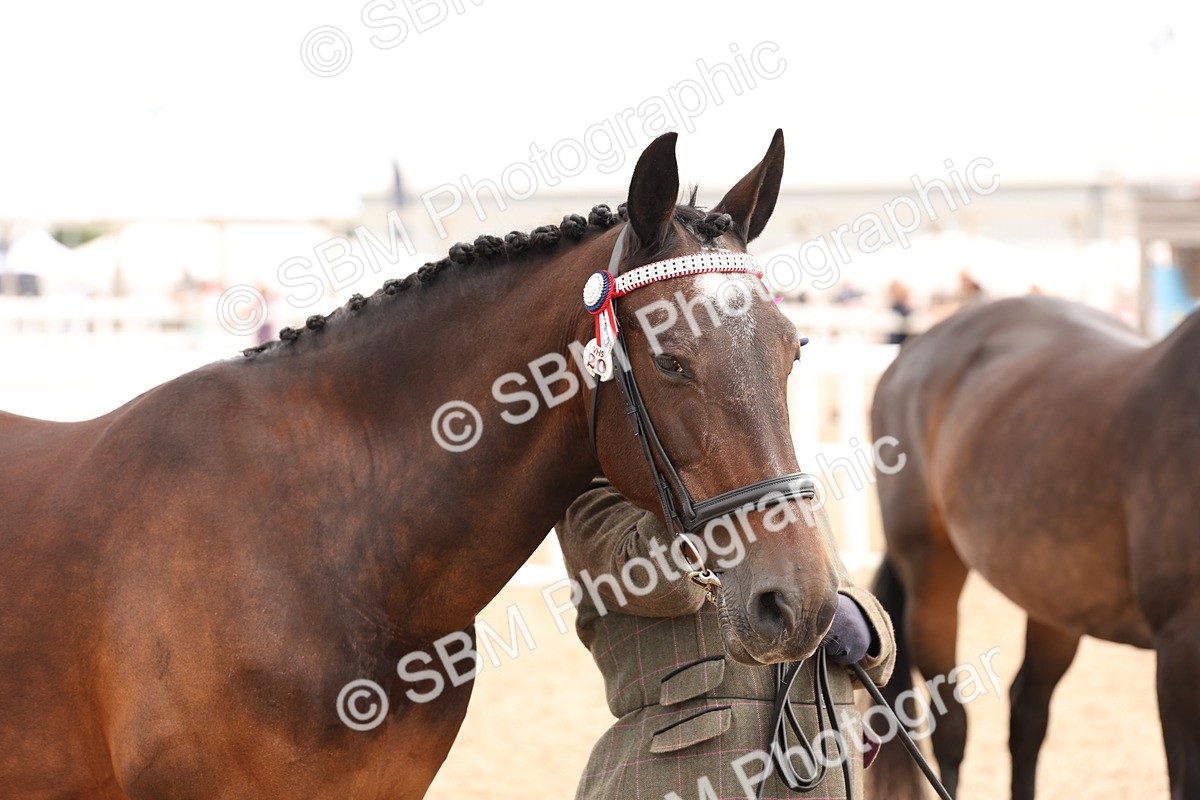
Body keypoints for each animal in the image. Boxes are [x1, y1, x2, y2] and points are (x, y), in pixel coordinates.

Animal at [866, 295, 1200, 800]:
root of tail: (914, 349)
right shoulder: (1180, 649)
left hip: (1056, 605)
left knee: (1027, 716)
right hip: (931, 581)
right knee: (952, 729)